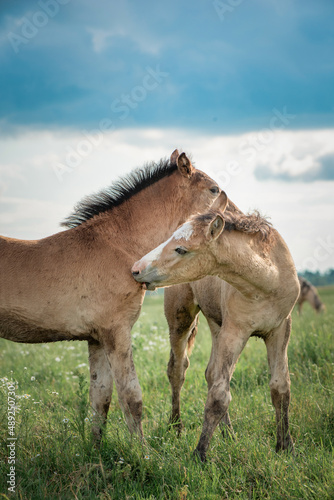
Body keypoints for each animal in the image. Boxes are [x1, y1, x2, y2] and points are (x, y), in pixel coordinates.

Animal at [0, 149, 222, 442]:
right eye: (214, 189)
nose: (229, 222)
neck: (117, 245)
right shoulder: (116, 331)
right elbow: (131, 397)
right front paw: (143, 451)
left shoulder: (96, 338)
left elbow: (100, 397)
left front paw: (96, 448)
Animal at [132, 192, 300, 460]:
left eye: (181, 249)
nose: (136, 269)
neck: (266, 282)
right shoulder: (235, 330)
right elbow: (220, 395)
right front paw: (199, 455)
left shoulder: (280, 329)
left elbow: (280, 387)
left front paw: (285, 446)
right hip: (182, 320)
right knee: (177, 370)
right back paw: (176, 427)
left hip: (216, 325)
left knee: (211, 374)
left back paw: (228, 434)